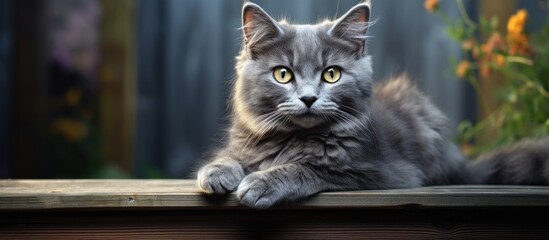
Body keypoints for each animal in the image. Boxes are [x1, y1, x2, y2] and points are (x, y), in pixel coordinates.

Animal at [196, 0, 548, 208]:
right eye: (283, 74)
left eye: (331, 74)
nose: (308, 98)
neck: (296, 139)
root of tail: (456, 159)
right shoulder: (245, 143)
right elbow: (230, 157)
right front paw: (215, 173)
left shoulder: (375, 171)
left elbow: (308, 168)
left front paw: (260, 183)